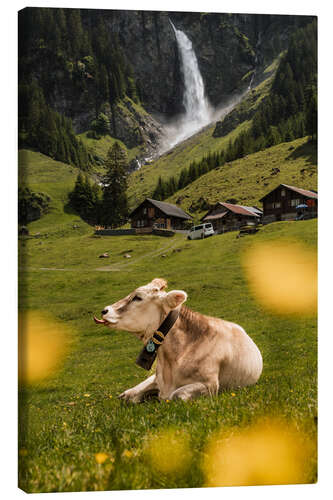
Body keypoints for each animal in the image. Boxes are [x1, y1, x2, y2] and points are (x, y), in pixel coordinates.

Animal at [93, 278, 262, 402]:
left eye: (138, 297)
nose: (104, 310)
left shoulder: (211, 385)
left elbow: (177, 395)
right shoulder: (158, 380)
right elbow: (131, 397)